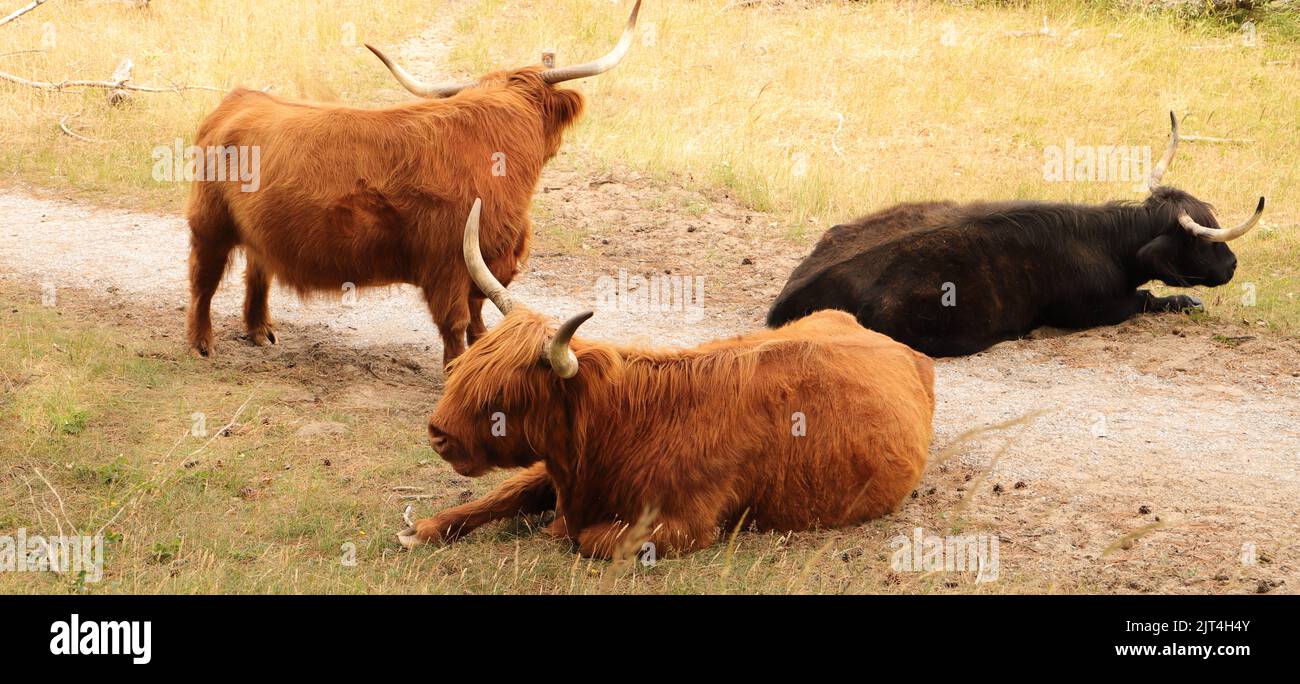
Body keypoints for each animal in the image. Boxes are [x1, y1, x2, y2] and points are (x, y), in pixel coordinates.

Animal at [184, 1, 642, 366]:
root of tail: (242, 98)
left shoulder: (487, 255)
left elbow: (479, 309)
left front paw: (483, 348)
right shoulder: (449, 261)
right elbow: (455, 321)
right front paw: (455, 369)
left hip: (256, 228)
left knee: (257, 270)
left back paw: (260, 331)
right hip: (209, 225)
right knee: (203, 281)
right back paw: (202, 344)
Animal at [396, 199, 936, 558]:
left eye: (506, 394)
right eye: (464, 368)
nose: (437, 432)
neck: (626, 425)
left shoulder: (689, 526)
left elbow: (585, 537)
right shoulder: (556, 468)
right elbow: (504, 494)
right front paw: (421, 528)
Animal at [766, 113, 1266, 357]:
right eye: (1203, 241)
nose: (1233, 264)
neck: (1109, 245)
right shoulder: (1101, 309)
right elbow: (1153, 300)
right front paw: (1187, 300)